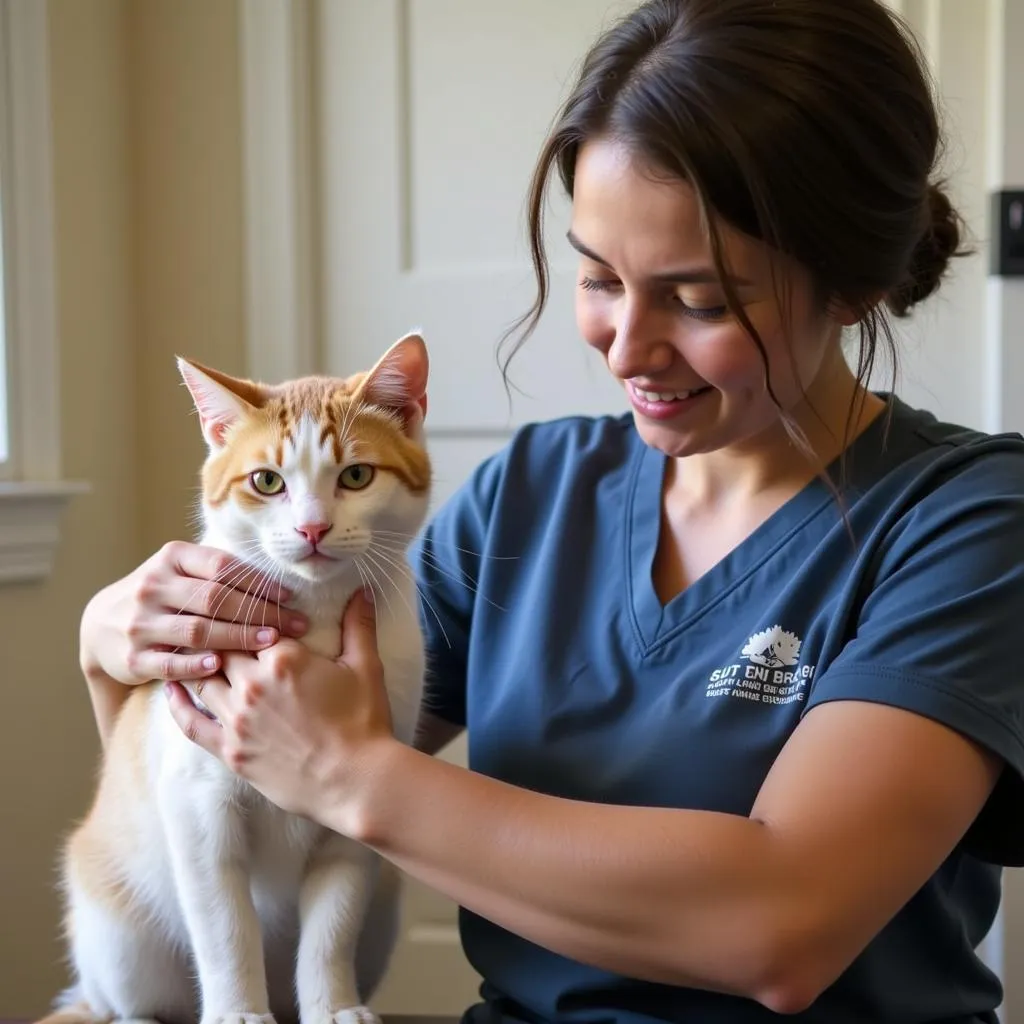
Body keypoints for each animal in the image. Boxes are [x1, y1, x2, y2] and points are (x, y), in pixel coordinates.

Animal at [45, 333, 432, 1024]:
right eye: (267, 481)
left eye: (356, 475)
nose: (312, 527)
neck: (316, 619)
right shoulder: (199, 805)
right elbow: (225, 926)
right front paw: (236, 1011)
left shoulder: (355, 810)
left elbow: (333, 925)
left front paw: (333, 1005)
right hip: (119, 936)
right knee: (125, 1002)